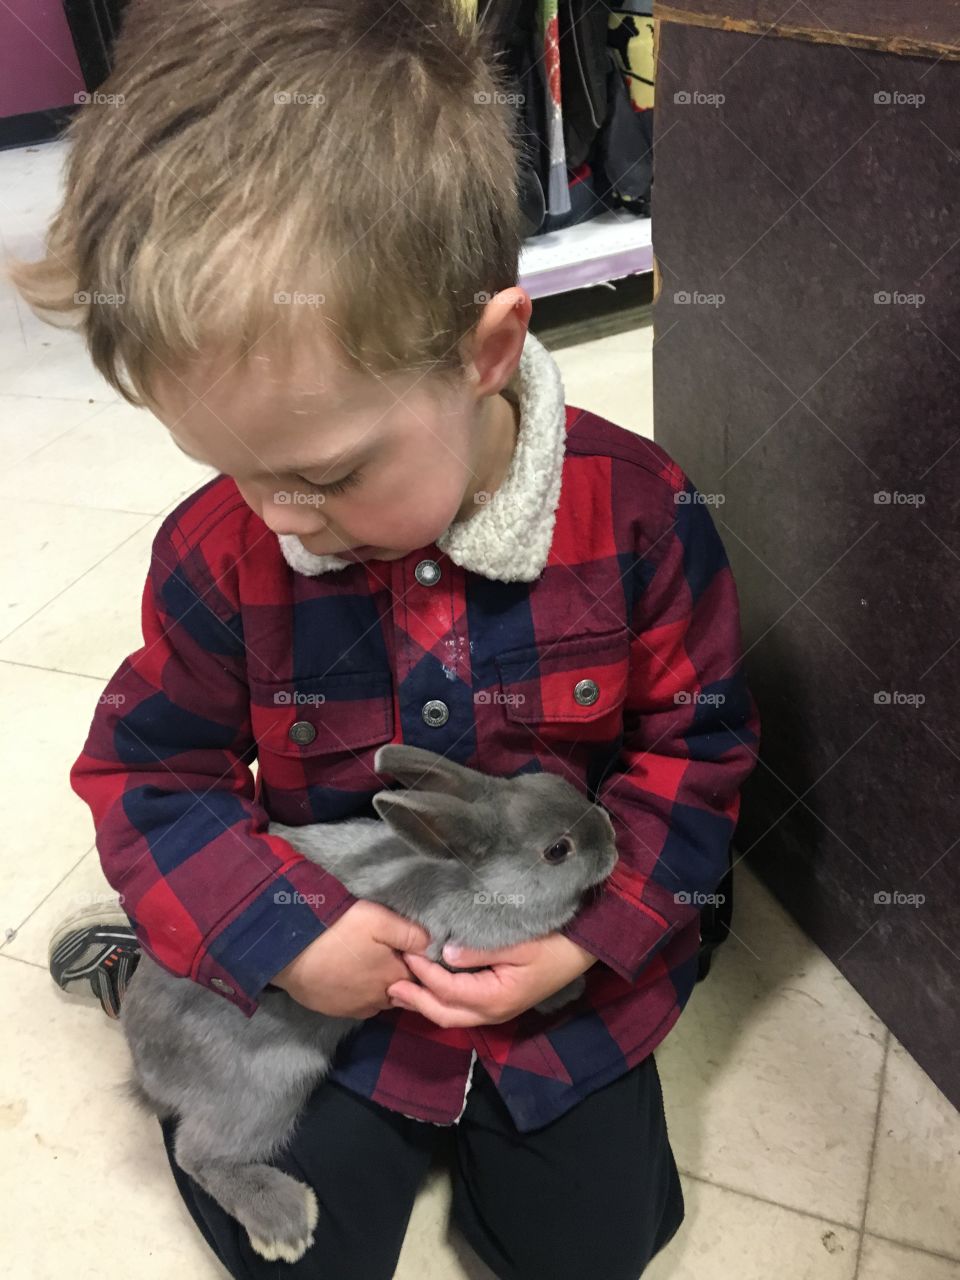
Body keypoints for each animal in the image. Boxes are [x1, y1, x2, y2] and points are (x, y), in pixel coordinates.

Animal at [120, 747, 619, 1264]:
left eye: (552, 782)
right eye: (558, 850)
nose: (613, 840)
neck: (467, 877)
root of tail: (148, 1073)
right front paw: (568, 990)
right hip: (270, 1083)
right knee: (197, 1155)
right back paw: (286, 1225)